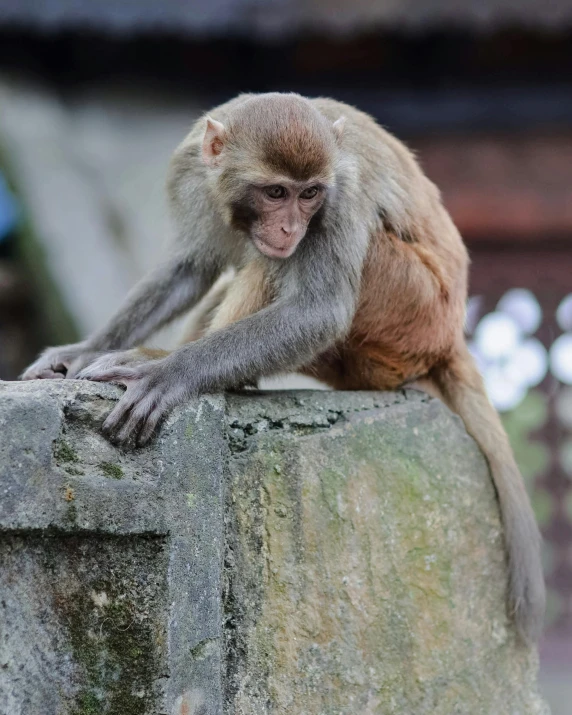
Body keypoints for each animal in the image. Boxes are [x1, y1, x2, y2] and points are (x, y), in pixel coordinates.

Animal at [21, 91, 544, 644]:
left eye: (309, 194)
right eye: (276, 192)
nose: (292, 226)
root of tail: (450, 336)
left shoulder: (342, 194)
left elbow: (319, 311)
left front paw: (167, 375)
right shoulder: (191, 172)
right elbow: (188, 270)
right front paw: (84, 350)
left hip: (408, 310)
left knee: (277, 265)